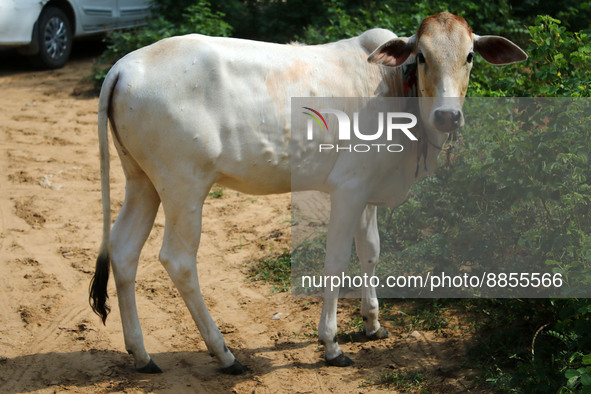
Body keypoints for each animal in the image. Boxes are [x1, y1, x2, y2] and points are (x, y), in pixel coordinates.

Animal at [91, 12, 528, 374]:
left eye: (470, 56)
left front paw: (373, 324)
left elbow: (370, 251)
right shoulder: (349, 188)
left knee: (124, 250)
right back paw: (224, 354)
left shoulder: (367, 189)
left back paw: (142, 355)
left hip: (142, 181)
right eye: (421, 56)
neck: (394, 90)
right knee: (178, 261)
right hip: (184, 186)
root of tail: (124, 66)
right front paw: (331, 344)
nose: (448, 115)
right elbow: (336, 260)